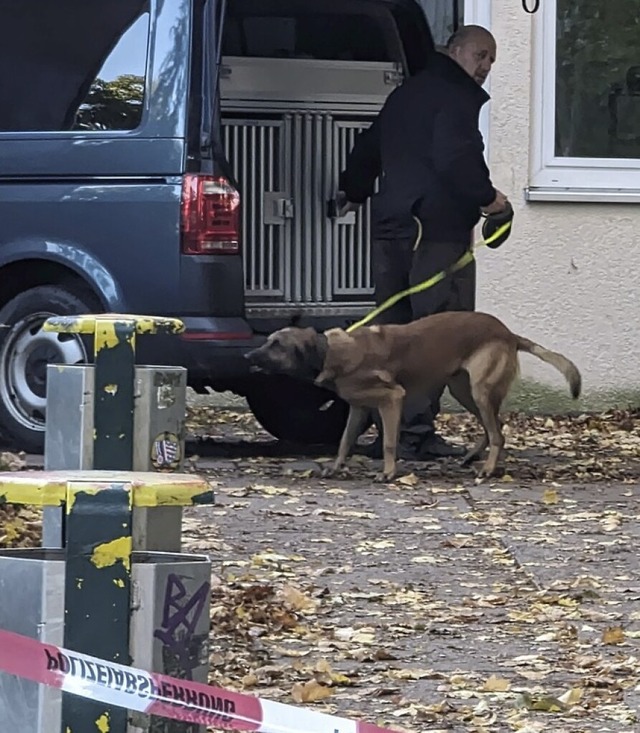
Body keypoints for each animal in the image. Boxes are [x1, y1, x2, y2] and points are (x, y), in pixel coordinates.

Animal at [246, 310, 584, 478]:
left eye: (276, 345)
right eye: (268, 341)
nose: (248, 356)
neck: (329, 352)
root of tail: (508, 334)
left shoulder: (392, 399)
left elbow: (389, 442)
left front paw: (389, 472)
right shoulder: (359, 408)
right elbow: (344, 441)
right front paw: (335, 467)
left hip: (479, 390)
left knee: (498, 434)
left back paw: (488, 469)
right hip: (464, 391)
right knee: (493, 429)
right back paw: (474, 458)